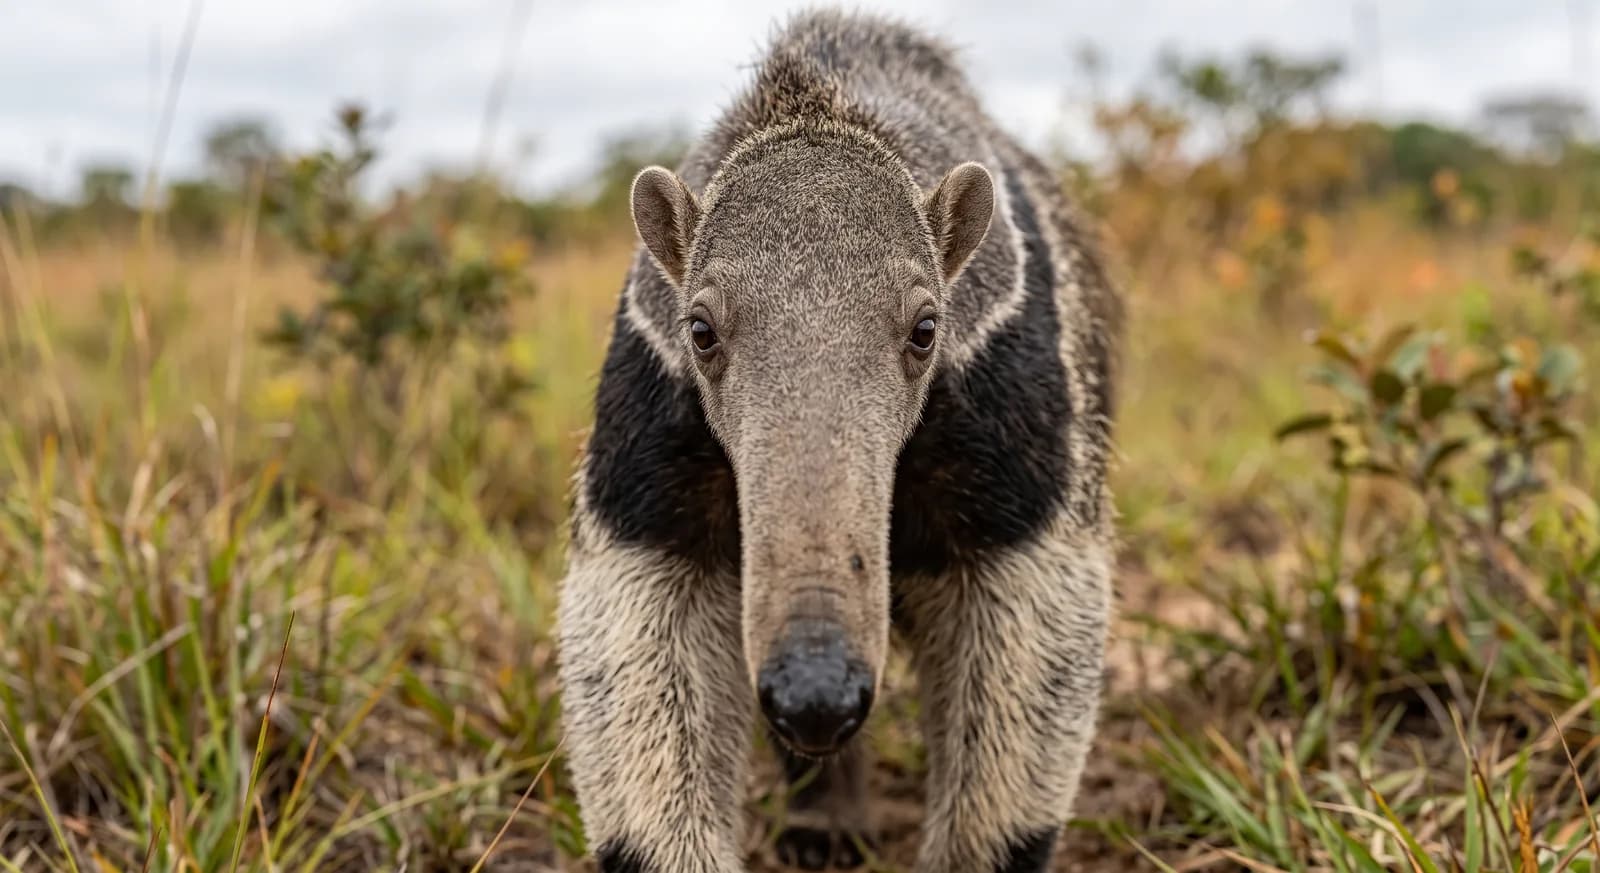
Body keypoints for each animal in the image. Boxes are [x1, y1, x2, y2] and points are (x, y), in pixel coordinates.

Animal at [557, 8, 1119, 872]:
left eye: (925, 329)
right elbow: (646, 610)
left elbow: (1027, 605)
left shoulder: (1018, 383)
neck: (822, 108)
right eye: (700, 329)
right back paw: (825, 822)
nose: (816, 696)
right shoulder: (651, 399)